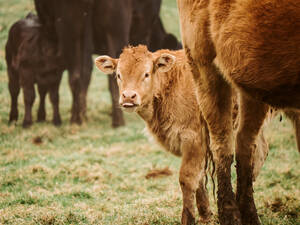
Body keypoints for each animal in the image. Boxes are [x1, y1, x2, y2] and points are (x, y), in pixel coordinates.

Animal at [95, 45, 270, 225]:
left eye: (146, 74)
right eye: (118, 75)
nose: (128, 97)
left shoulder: (193, 139)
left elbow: (187, 178)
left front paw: (188, 218)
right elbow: (198, 180)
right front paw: (205, 215)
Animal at [177, 0, 300, 224]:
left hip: (252, 85)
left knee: (244, 143)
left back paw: (249, 215)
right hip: (204, 67)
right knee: (222, 144)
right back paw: (229, 215)